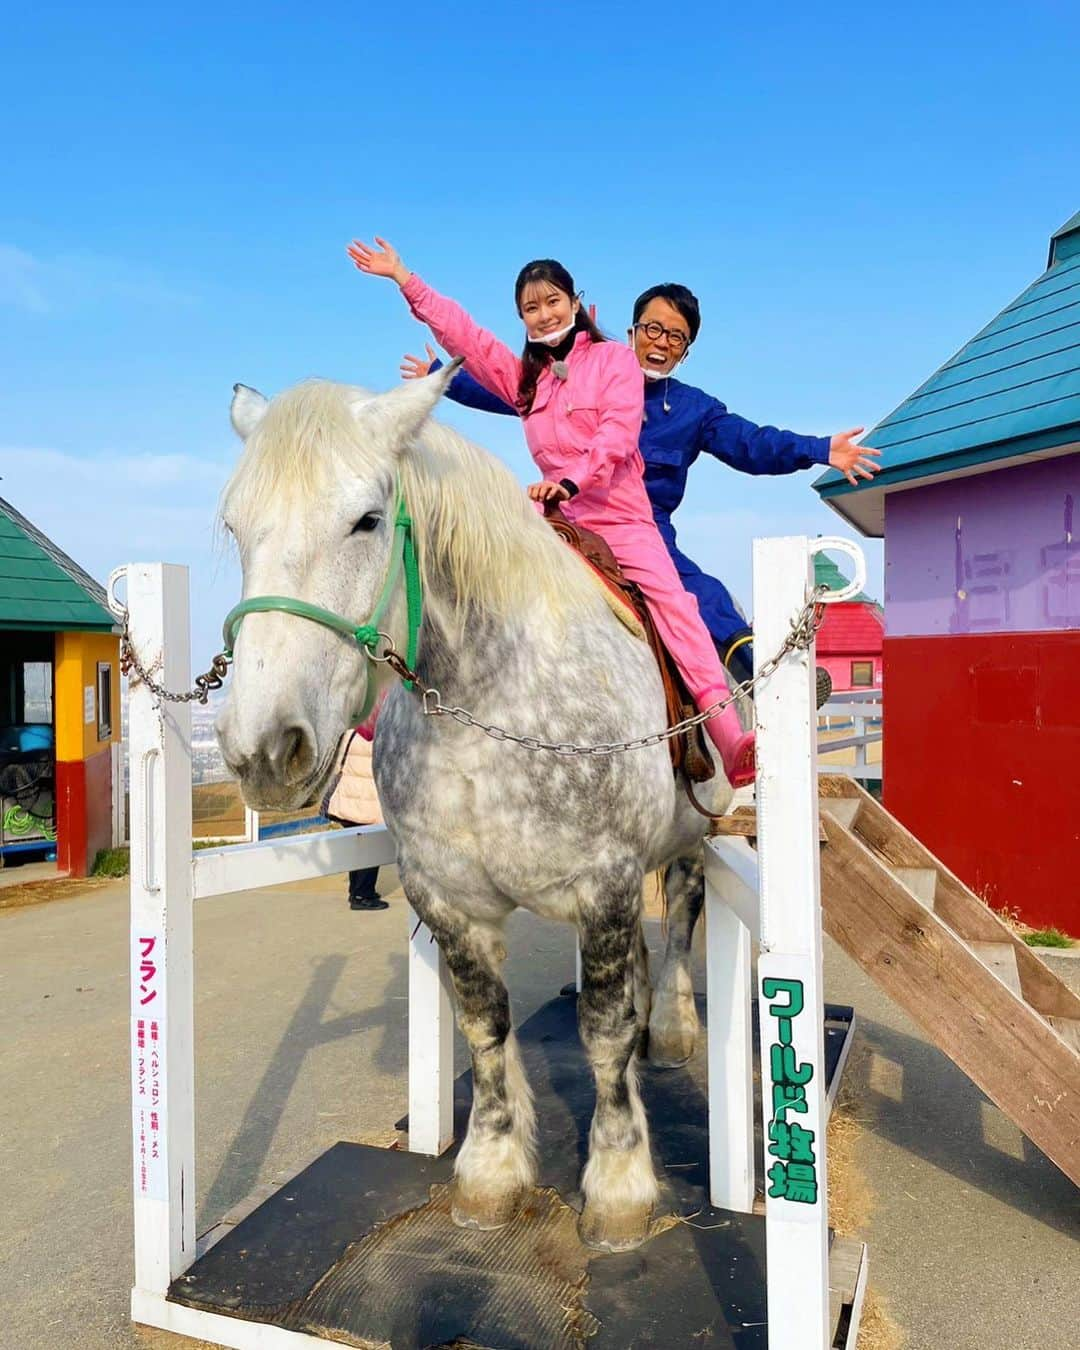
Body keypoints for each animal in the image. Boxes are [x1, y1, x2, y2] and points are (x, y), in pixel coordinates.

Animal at [214, 369, 729, 1252]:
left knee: (683, 919)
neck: (489, 703)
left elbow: (602, 1033)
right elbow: (486, 1026)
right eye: (236, 526)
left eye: (367, 519)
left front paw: (620, 1187)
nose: (264, 752)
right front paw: (490, 1171)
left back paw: (672, 1026)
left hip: (692, 840)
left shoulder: (607, 884)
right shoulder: (449, 898)